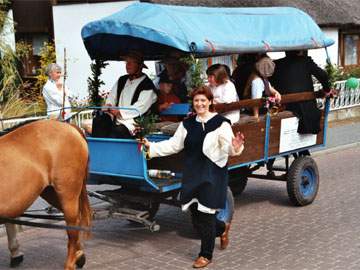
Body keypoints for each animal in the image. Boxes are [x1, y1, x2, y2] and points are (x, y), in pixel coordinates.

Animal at [0, 120, 90, 270]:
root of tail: (68, 126)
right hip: (52, 193)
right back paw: (79, 255)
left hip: (68, 193)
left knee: (72, 225)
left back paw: (70, 263)